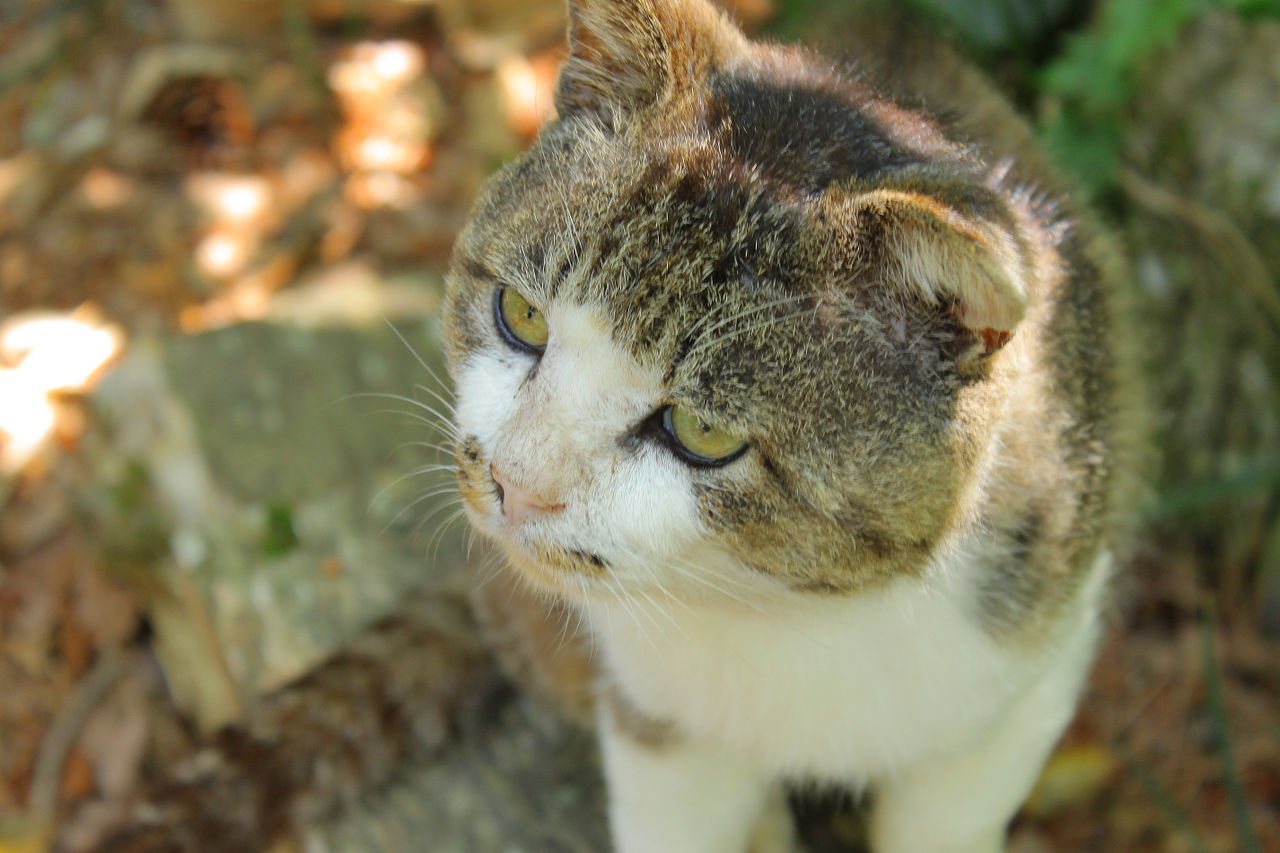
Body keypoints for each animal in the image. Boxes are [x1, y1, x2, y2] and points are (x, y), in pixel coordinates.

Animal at [443, 1, 1141, 852]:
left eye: (702, 432)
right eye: (522, 315)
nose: (515, 485)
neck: (793, 614)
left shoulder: (1027, 671)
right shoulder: (655, 714)